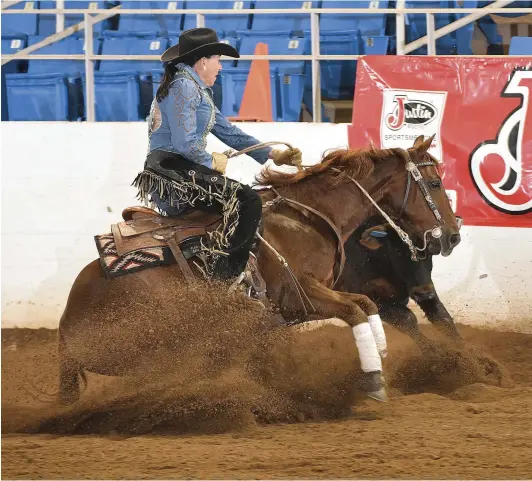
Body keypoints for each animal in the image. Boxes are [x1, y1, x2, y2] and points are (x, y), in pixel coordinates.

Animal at [57, 135, 458, 404]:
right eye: (435, 183)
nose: (452, 235)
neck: (307, 217)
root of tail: (67, 322)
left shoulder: (316, 297)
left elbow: (366, 306)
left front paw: (382, 355)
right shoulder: (299, 297)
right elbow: (356, 311)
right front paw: (374, 379)